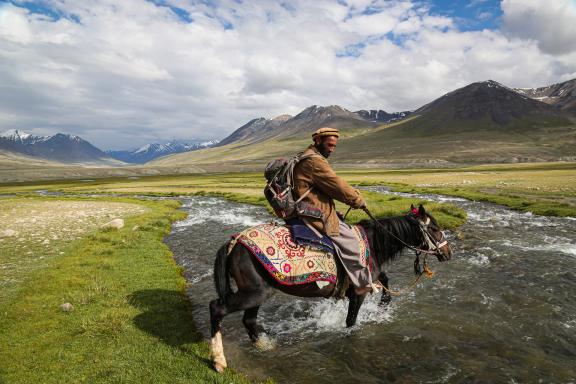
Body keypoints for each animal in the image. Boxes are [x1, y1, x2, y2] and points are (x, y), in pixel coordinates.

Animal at [209, 204, 452, 372]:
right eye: (434, 228)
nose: (448, 252)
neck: (373, 243)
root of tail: (234, 242)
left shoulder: (370, 277)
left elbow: (385, 279)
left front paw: (384, 305)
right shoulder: (359, 291)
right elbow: (351, 321)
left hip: (257, 294)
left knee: (248, 320)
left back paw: (265, 346)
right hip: (255, 293)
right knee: (217, 308)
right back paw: (220, 361)